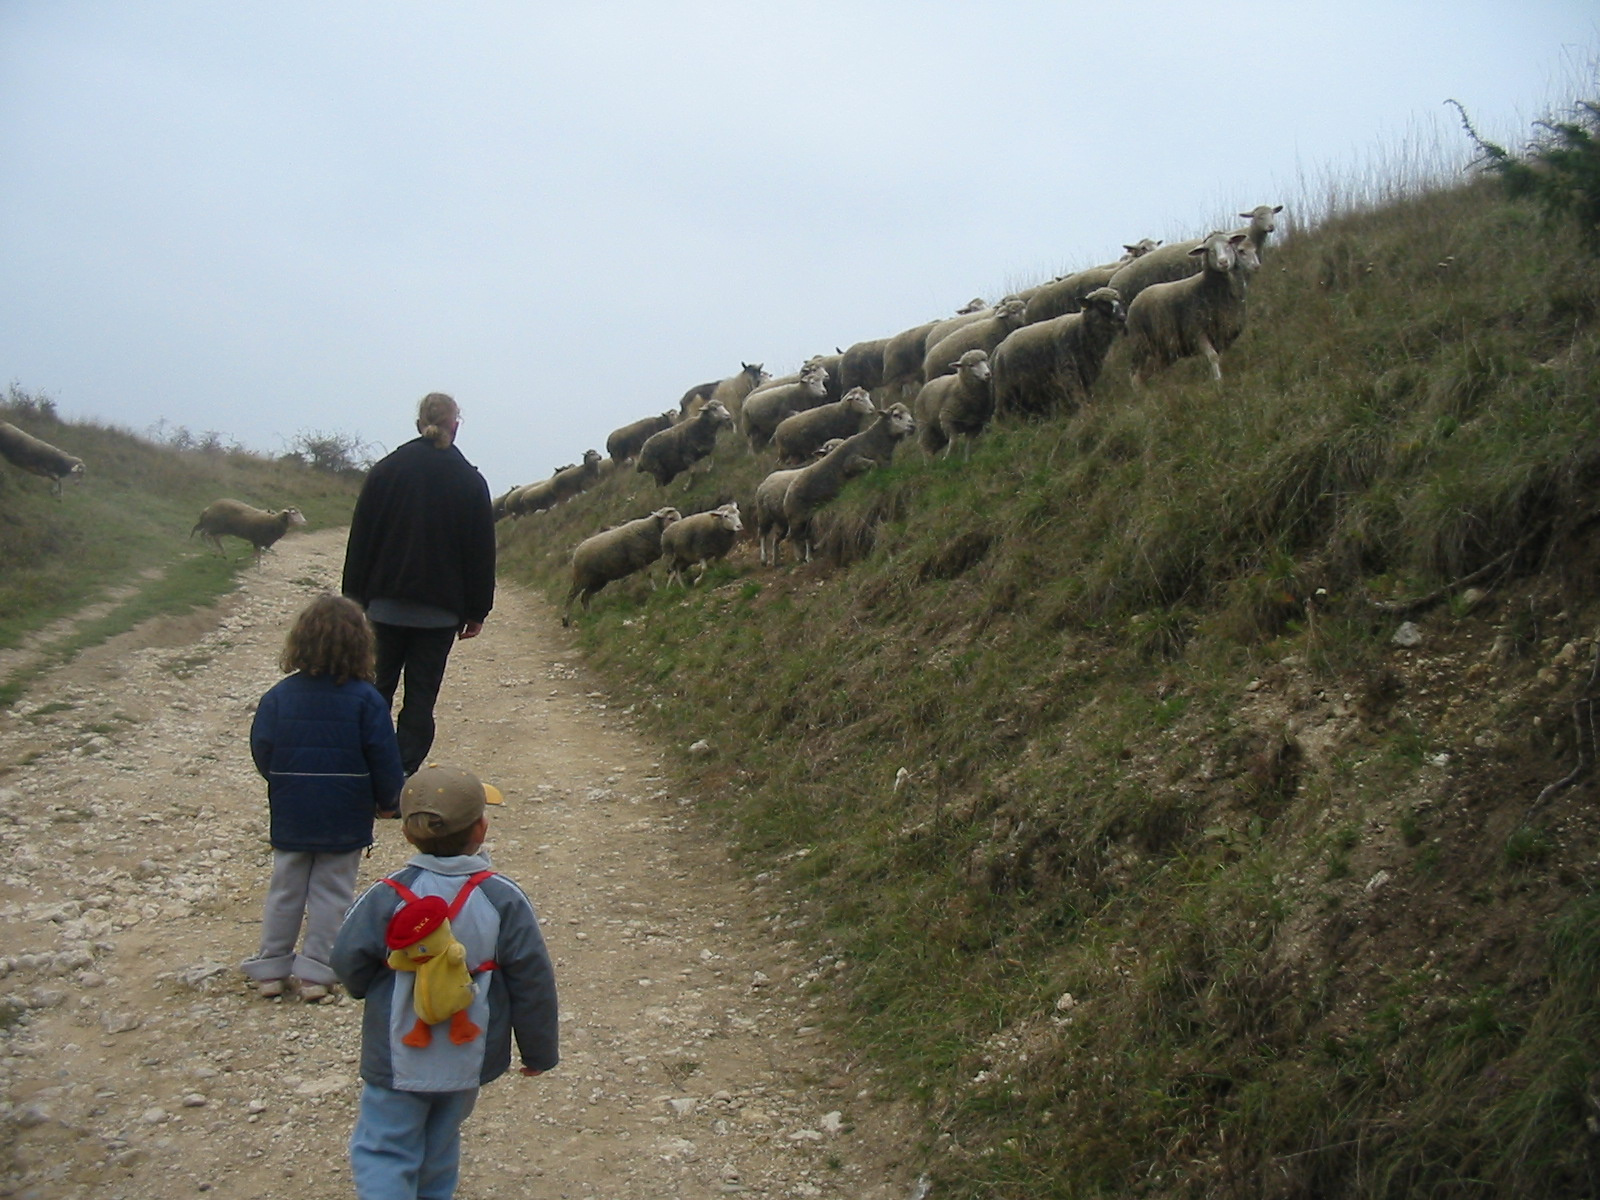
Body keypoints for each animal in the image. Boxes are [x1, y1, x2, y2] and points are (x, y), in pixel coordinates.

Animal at [780, 401, 921, 566]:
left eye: (909, 413)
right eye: (897, 415)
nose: (912, 426)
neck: (873, 441)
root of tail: (787, 493)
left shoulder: (885, 464)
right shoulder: (851, 462)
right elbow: (871, 465)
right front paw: (869, 479)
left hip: (807, 517)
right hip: (796, 517)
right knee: (793, 538)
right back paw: (800, 557)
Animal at [992, 289, 1132, 419]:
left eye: (1120, 302)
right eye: (1102, 303)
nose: (1122, 318)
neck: (1081, 330)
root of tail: (998, 348)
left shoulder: (1088, 374)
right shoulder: (1069, 373)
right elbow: (1079, 397)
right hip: (1005, 391)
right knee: (1000, 415)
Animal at [1126, 230, 1260, 385]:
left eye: (1229, 244)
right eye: (1209, 250)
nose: (1223, 262)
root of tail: (1139, 295)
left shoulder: (1226, 333)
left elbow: (1219, 356)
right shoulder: (1196, 332)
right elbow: (1213, 356)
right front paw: (1218, 381)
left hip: (1164, 349)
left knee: (1151, 371)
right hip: (1140, 343)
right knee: (1135, 374)